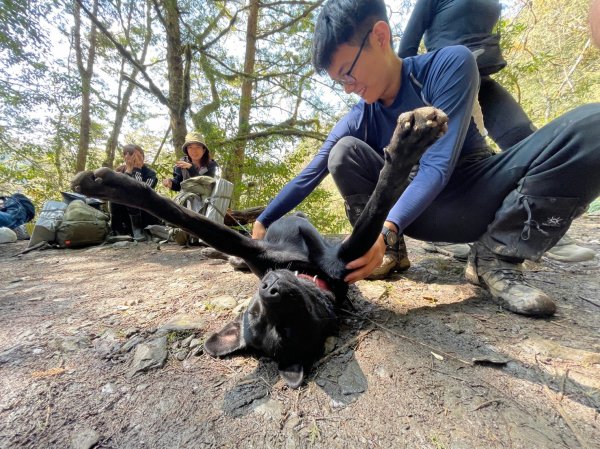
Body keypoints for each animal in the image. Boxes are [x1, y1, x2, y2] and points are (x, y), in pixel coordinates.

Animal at [71, 106, 446, 388]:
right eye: (267, 321)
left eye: (256, 313)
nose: (269, 287)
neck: (311, 276)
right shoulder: (297, 253)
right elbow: (194, 221)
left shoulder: (273, 248)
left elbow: (192, 220)